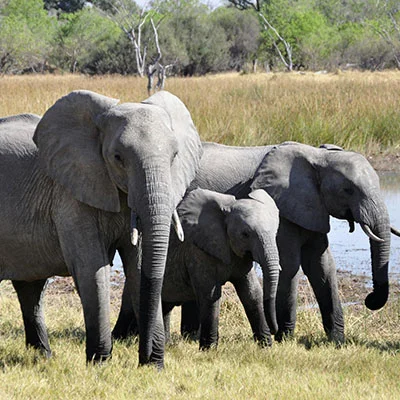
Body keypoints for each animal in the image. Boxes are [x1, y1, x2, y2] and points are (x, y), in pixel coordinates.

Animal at [0, 88, 202, 368]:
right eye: (118, 158)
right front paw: (100, 363)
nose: (145, 358)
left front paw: (153, 366)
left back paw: (43, 356)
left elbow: (138, 266)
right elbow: (91, 267)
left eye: (174, 157)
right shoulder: (71, 194)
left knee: (30, 287)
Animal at [114, 189, 280, 348]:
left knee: (165, 306)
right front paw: (209, 349)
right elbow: (210, 295)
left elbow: (252, 293)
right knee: (130, 307)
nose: (274, 330)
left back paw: (164, 343)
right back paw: (119, 340)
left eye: (275, 232)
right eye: (245, 234)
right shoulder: (197, 252)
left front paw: (266, 347)